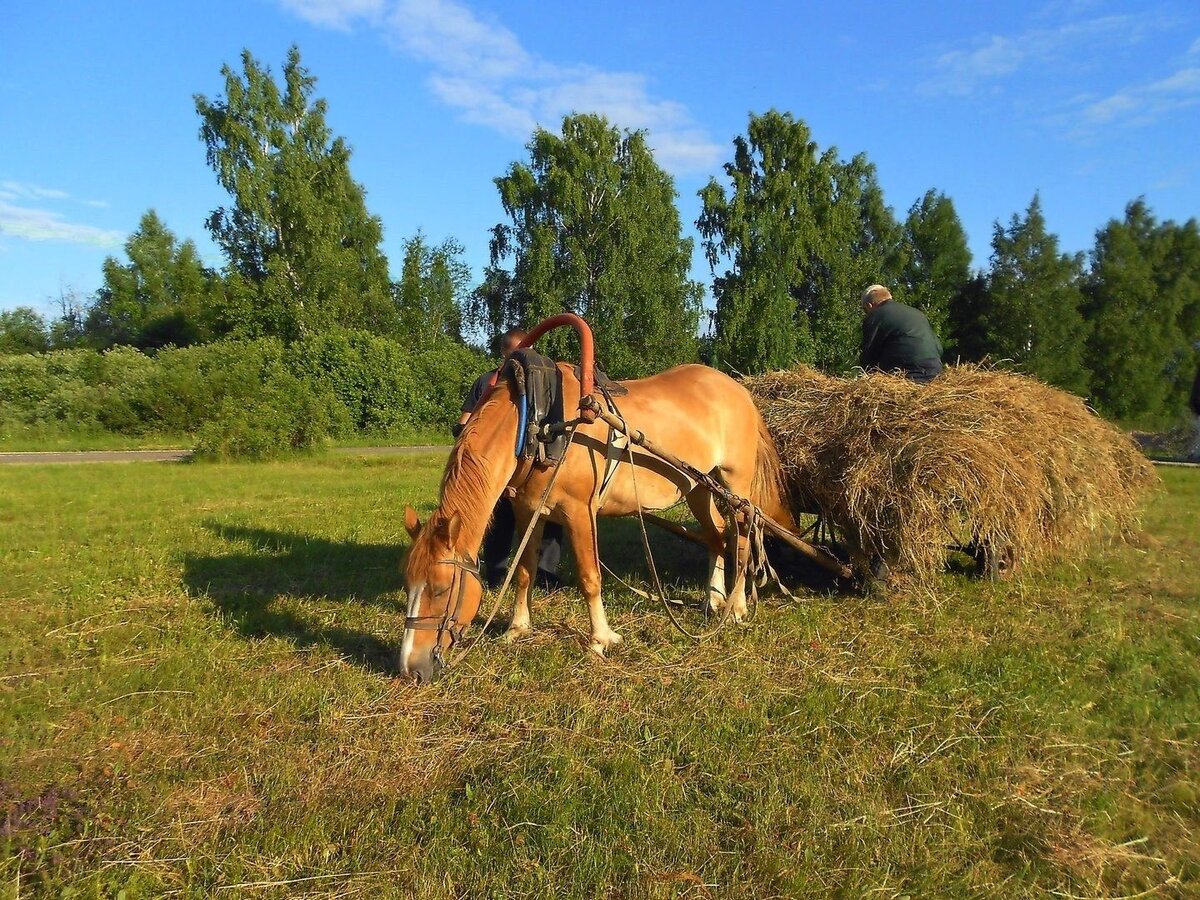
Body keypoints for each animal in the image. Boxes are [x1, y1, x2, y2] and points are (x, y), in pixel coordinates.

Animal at [403, 362, 796, 681]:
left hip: (735, 486)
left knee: (741, 538)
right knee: (717, 537)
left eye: (440, 589)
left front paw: (601, 638)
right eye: (408, 584)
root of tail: (740, 390)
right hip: (698, 485)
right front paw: (517, 627)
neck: (538, 423)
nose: (410, 668)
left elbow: (590, 578)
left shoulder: (580, 512)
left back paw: (738, 606)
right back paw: (713, 600)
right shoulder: (529, 512)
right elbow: (525, 572)